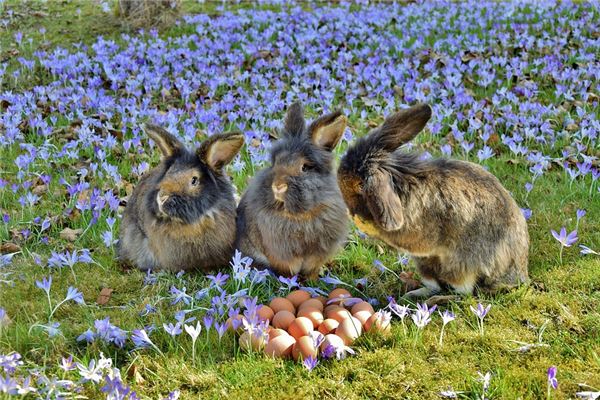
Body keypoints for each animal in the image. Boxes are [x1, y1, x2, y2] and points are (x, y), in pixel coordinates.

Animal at [236, 101, 350, 280]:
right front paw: (290, 281)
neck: (300, 215)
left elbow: (312, 268)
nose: (278, 186)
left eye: (305, 167)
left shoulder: (318, 254)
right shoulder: (281, 254)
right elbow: (288, 269)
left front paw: (312, 280)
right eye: (275, 162)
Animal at [338, 103, 528, 296]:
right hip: (425, 264)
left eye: (361, 185)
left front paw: (361, 222)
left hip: (460, 265)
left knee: (461, 291)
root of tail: (518, 275)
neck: (400, 184)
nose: (350, 211)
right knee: (434, 284)